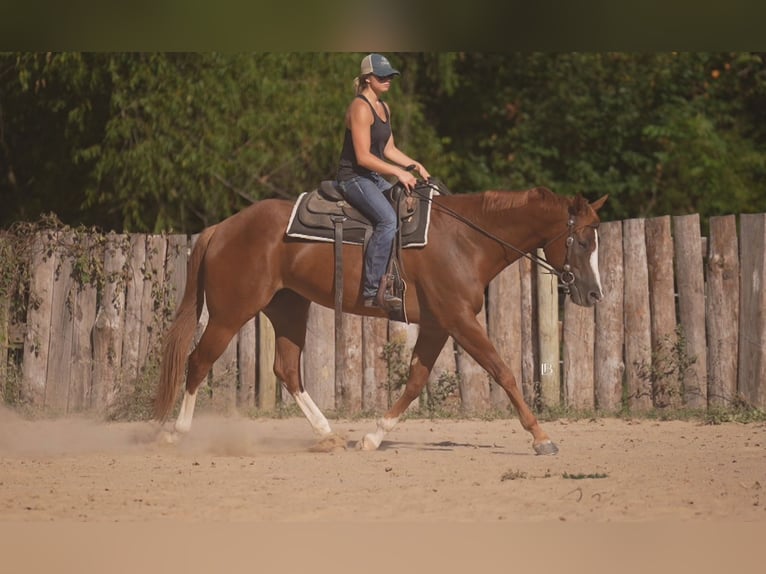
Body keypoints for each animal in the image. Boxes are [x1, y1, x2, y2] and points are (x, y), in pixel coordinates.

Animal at [154, 185, 608, 455]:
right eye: (584, 242)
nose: (594, 294)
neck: (466, 240)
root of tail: (221, 228)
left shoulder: (438, 325)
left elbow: (416, 379)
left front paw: (374, 435)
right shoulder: (460, 321)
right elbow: (503, 371)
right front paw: (541, 437)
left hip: (288, 307)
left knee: (287, 369)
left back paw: (329, 435)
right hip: (231, 313)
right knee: (198, 361)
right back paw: (175, 431)